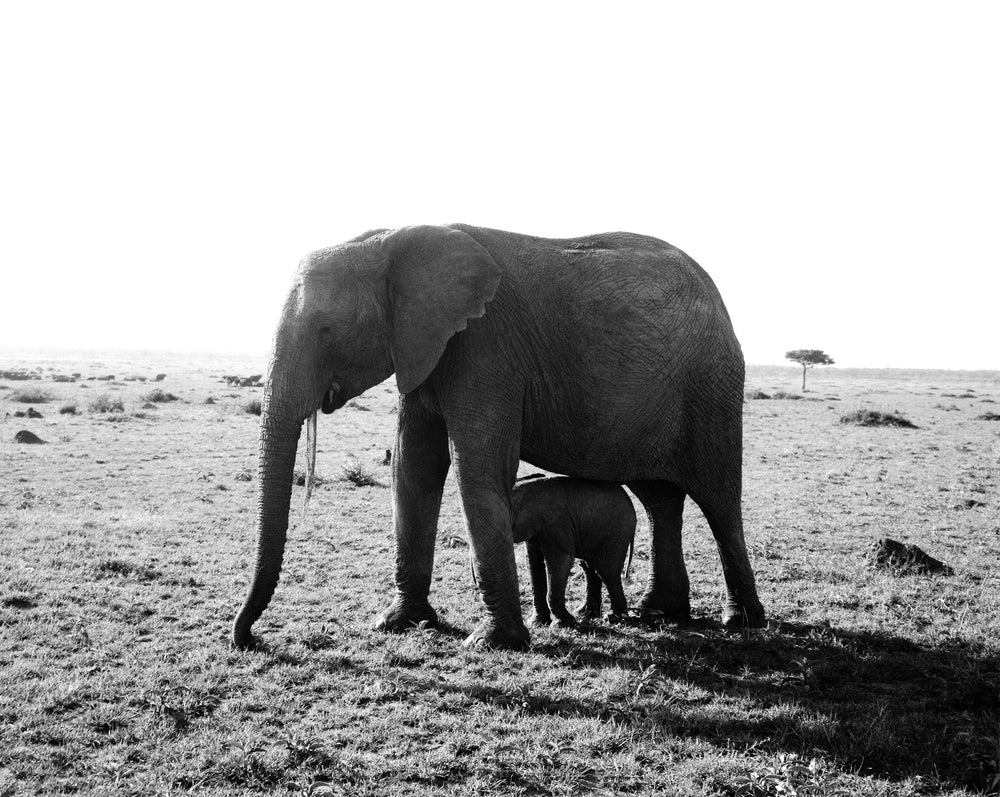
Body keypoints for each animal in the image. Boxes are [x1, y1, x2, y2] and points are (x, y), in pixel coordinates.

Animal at [512, 476, 636, 627]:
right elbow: (533, 565)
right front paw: (537, 623)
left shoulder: (557, 525)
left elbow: (561, 561)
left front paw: (562, 624)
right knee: (589, 567)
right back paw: (586, 614)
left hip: (618, 530)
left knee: (606, 571)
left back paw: (614, 618)